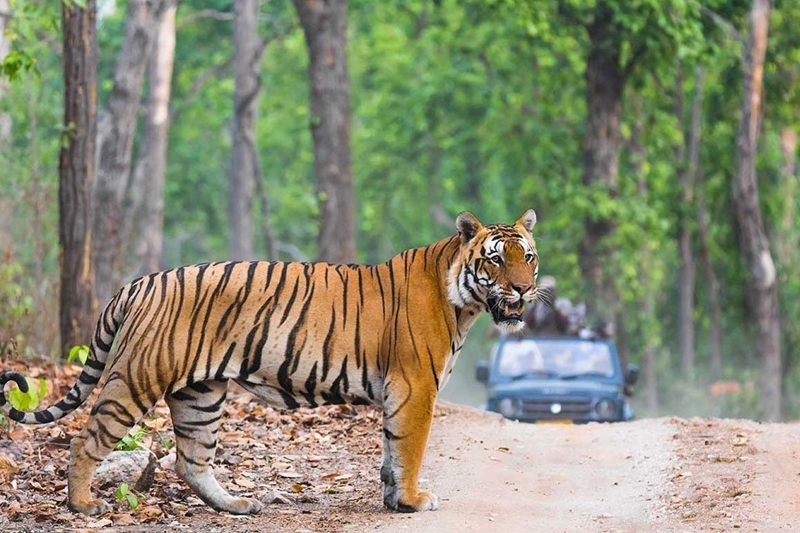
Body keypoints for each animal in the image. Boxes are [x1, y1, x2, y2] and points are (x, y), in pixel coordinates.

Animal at [0, 210, 540, 516]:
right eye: (495, 259)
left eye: (528, 257)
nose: (523, 289)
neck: (462, 302)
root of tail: (140, 281)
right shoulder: (415, 388)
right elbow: (409, 450)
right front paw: (411, 501)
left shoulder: (401, 392)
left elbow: (391, 453)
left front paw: (392, 501)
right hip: (137, 378)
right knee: (87, 439)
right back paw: (82, 504)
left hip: (200, 395)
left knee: (191, 460)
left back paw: (240, 505)